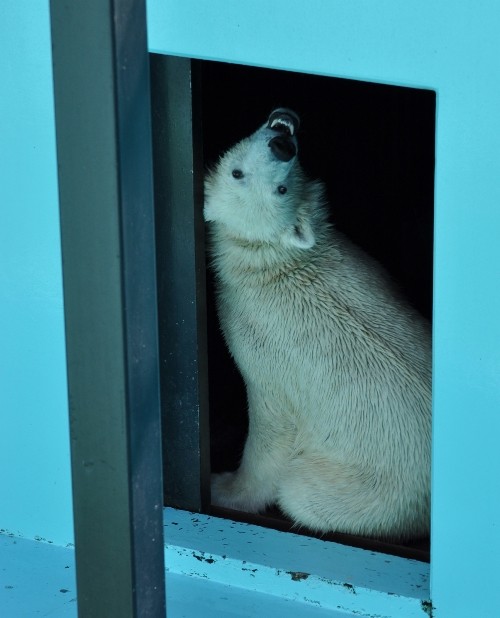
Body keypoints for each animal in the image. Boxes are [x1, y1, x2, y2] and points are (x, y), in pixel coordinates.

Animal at [205, 108, 432, 536]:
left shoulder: (261, 343)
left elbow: (272, 426)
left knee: (302, 492)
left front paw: (223, 487)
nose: (282, 143)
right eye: (239, 173)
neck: (275, 262)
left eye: (281, 187)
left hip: (370, 490)